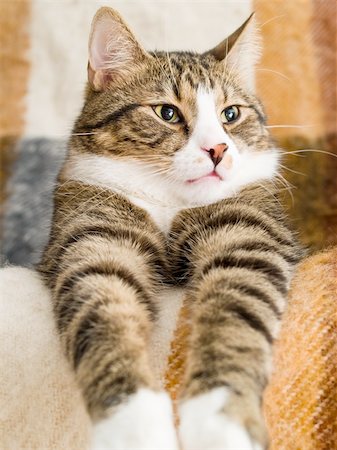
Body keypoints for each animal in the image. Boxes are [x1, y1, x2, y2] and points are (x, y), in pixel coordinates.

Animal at [38, 7, 300, 450]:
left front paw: (220, 420)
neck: (169, 199)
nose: (218, 149)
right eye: (167, 113)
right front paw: (131, 425)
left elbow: (233, 319)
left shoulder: (246, 237)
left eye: (231, 114)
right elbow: (105, 319)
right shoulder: (94, 239)